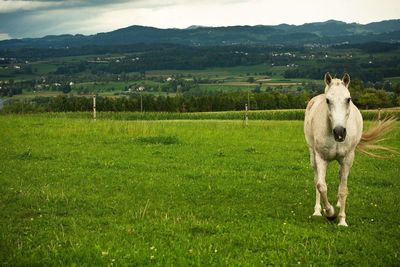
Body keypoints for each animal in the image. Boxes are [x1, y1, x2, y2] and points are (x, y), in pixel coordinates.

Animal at [304, 72, 396, 227]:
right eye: (328, 100)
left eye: (348, 99)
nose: (339, 132)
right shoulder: (321, 158)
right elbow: (321, 185)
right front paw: (330, 213)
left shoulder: (347, 159)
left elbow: (343, 190)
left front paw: (342, 220)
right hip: (313, 156)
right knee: (316, 180)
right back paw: (317, 211)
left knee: (340, 177)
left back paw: (339, 204)